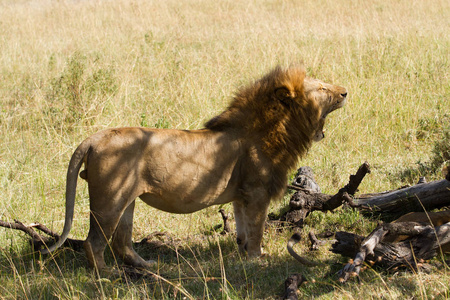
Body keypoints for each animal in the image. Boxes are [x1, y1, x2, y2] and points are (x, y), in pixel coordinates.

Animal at [40, 65, 346, 270]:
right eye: (321, 88)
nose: (345, 92)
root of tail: (92, 139)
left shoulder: (241, 195)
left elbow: (242, 229)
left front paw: (243, 254)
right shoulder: (257, 192)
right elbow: (257, 228)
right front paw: (257, 259)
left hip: (127, 200)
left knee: (122, 242)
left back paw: (147, 265)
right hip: (109, 200)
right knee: (93, 242)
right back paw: (107, 273)